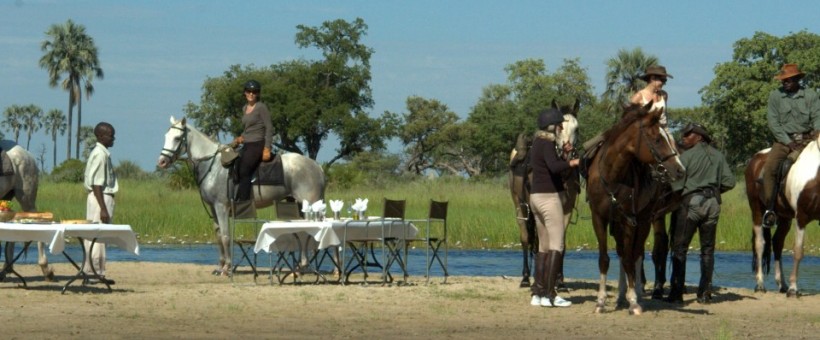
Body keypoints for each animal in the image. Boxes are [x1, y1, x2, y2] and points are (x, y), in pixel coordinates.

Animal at [157, 118, 326, 274]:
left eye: (177, 138)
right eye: (166, 136)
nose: (162, 162)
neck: (213, 166)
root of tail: (316, 166)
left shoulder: (222, 207)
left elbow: (226, 236)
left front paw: (227, 268)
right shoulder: (213, 209)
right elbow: (218, 236)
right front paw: (220, 266)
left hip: (309, 206)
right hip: (299, 205)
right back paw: (301, 266)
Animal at [584, 102, 684, 314]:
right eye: (657, 139)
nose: (680, 169)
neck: (612, 175)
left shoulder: (630, 219)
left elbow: (631, 258)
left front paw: (634, 301)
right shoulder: (600, 218)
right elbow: (605, 259)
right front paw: (601, 301)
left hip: (648, 219)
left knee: (638, 254)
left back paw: (637, 292)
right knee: (626, 253)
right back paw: (622, 295)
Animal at [744, 137, 820, 296]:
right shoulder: (801, 218)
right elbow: (798, 251)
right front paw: (793, 289)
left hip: (785, 218)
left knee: (778, 243)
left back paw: (782, 284)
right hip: (757, 211)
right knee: (760, 243)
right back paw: (760, 284)